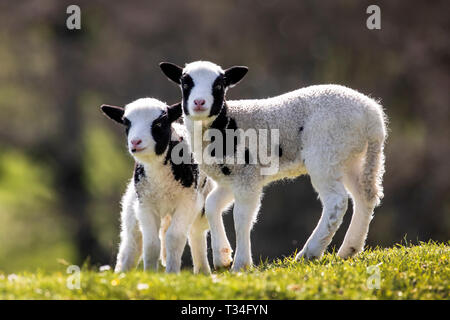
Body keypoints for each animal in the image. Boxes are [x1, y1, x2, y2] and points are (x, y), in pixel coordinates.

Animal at [101, 97, 214, 272]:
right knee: (132, 245)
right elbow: (151, 244)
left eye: (159, 123)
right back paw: (122, 273)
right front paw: (150, 274)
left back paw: (205, 271)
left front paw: (172, 273)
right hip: (132, 209)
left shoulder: (187, 202)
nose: (135, 142)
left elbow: (174, 238)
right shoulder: (145, 205)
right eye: (126, 123)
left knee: (196, 235)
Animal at [158, 61, 386, 272]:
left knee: (337, 202)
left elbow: (241, 217)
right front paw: (222, 257)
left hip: (325, 151)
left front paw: (240, 264)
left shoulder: (246, 175)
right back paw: (349, 249)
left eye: (219, 85)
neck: (225, 123)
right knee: (364, 196)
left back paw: (309, 252)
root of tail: (372, 116)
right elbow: (212, 205)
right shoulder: (232, 178)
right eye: (185, 82)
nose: (199, 102)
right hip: (350, 157)